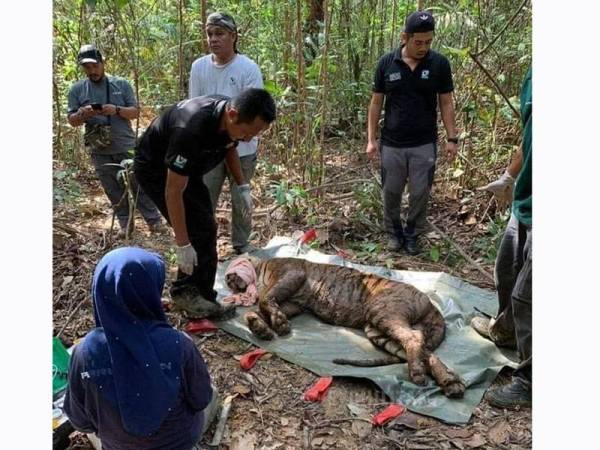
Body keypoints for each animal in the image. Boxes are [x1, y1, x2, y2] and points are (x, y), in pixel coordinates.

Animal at [225, 256, 464, 398]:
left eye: (231, 271)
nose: (228, 280)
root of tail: (428, 301)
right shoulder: (293, 304)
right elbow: (259, 310)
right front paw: (261, 327)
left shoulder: (291, 274)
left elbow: (265, 300)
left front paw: (278, 324)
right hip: (377, 330)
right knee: (424, 350)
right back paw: (450, 383)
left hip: (383, 312)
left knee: (414, 338)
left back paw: (418, 374)